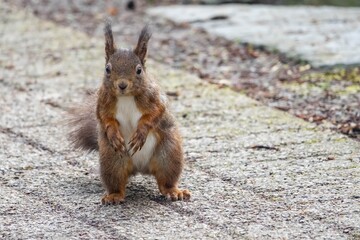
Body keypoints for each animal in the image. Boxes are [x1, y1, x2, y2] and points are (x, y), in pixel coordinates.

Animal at [68, 22, 191, 204]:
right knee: (117, 183)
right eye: (107, 69)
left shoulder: (154, 97)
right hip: (112, 160)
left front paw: (141, 133)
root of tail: (141, 168)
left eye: (139, 70)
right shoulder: (102, 103)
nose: (122, 85)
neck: (126, 97)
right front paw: (113, 134)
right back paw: (114, 195)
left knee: (166, 181)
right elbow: (104, 118)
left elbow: (155, 113)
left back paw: (174, 191)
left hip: (169, 154)